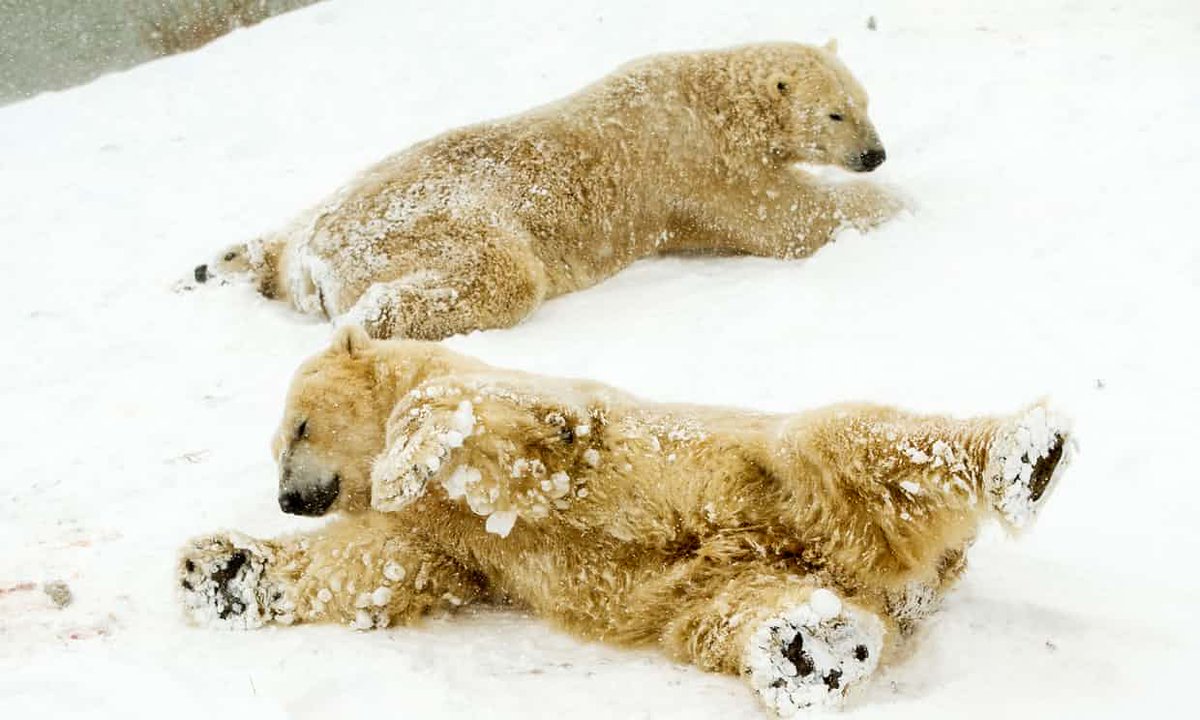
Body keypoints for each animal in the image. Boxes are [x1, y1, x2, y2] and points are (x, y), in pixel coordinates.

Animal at [179, 326, 1073, 715]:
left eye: (297, 428)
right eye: (278, 445)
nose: (289, 498)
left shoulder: (538, 406)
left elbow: (487, 423)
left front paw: (407, 455)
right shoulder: (450, 547)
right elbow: (386, 562)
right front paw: (219, 573)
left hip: (775, 479)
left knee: (848, 445)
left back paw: (1025, 454)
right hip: (723, 580)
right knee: (733, 615)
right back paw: (811, 650)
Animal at [192, 41, 902, 340]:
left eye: (867, 101)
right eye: (836, 114)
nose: (874, 154)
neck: (713, 97)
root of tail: (315, 255)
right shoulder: (698, 162)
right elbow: (789, 218)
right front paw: (901, 201)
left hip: (327, 208)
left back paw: (228, 259)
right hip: (426, 223)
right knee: (503, 276)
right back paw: (369, 318)